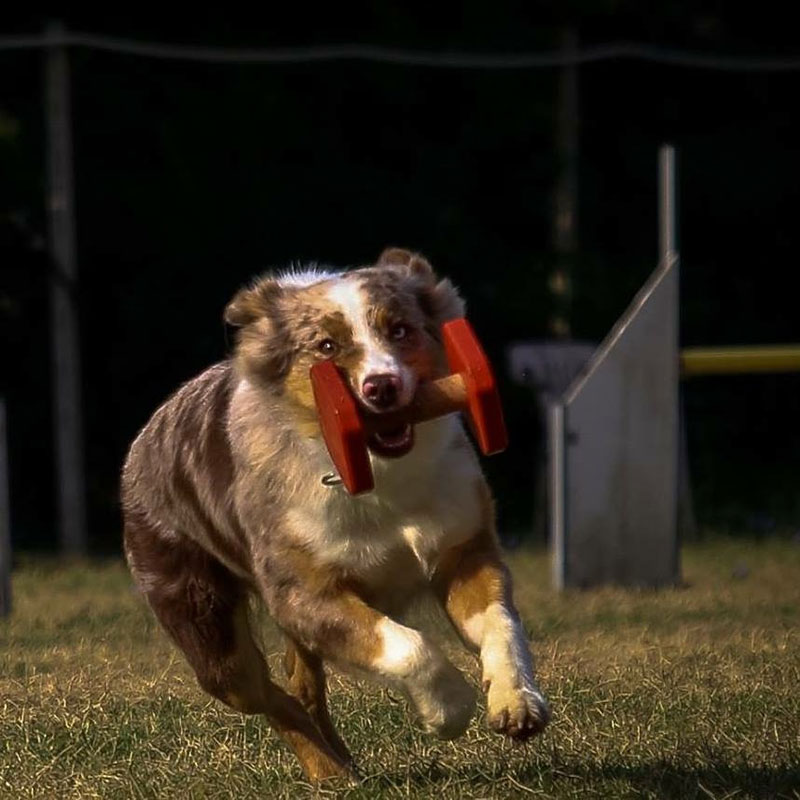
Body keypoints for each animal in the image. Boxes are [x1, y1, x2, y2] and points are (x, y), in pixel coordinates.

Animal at [123, 247, 552, 780]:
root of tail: (144, 437)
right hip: (209, 632)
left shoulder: (465, 548)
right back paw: (328, 770)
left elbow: (500, 623)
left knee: (300, 682)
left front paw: (517, 701)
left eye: (400, 330)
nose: (381, 387)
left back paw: (340, 760)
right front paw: (449, 708)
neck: (376, 474)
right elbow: (407, 644)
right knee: (269, 696)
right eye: (326, 346)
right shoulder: (303, 593)